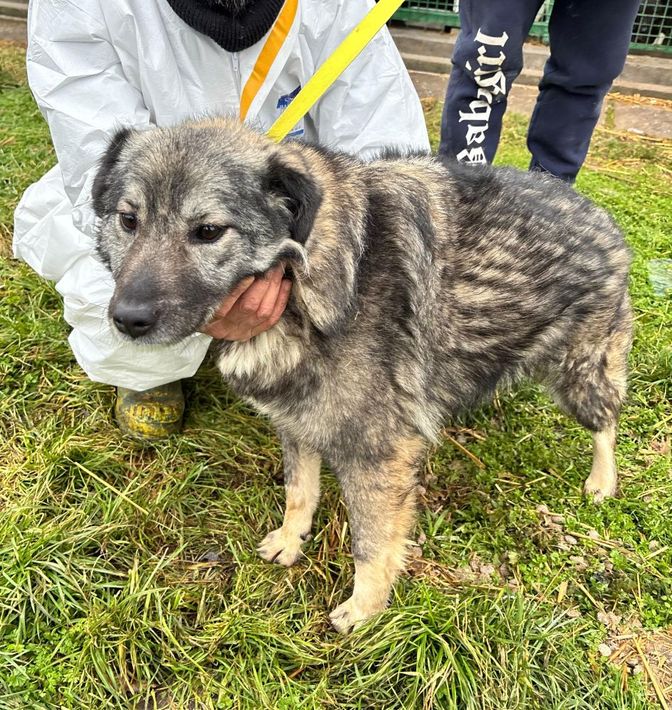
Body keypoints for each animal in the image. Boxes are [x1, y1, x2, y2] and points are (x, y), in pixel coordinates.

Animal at [92, 117, 632, 632]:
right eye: (128, 220)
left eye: (207, 231)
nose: (127, 320)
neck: (306, 282)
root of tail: (599, 216)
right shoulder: (298, 423)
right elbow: (299, 491)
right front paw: (291, 539)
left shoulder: (379, 456)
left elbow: (370, 543)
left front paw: (366, 608)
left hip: (580, 375)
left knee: (607, 423)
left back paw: (602, 481)